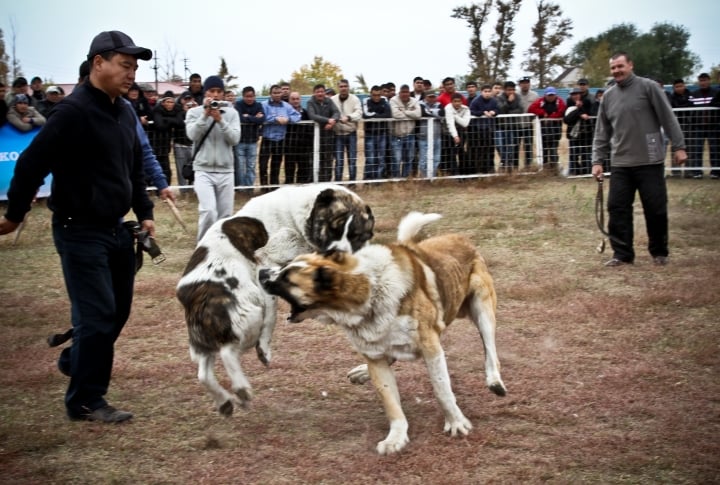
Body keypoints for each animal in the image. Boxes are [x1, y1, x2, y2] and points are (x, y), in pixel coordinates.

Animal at [176, 183, 374, 414]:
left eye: (355, 235)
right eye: (333, 229)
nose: (338, 255)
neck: (298, 218)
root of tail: (194, 298)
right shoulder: (267, 263)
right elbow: (271, 316)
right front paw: (265, 348)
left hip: (206, 340)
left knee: (204, 373)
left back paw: (225, 401)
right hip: (250, 318)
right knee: (227, 352)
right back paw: (242, 389)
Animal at [260, 212, 506, 454]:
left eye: (287, 278)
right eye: (285, 267)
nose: (262, 272)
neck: (370, 293)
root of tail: (460, 239)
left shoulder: (431, 348)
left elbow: (441, 389)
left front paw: (456, 422)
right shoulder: (375, 355)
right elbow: (390, 402)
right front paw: (395, 438)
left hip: (482, 308)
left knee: (490, 350)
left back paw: (494, 380)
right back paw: (362, 372)